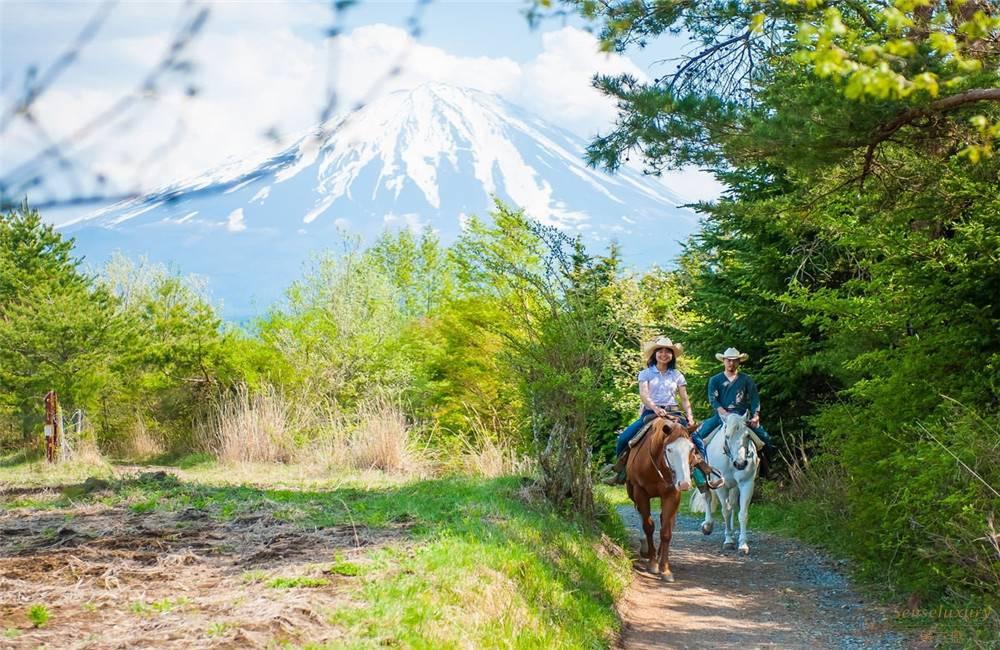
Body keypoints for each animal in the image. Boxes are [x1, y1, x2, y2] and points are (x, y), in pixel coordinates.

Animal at [624, 418, 696, 580]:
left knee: (667, 521)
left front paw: (665, 569)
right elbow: (648, 526)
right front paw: (652, 564)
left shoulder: (672, 494)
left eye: (691, 449)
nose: (684, 483)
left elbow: (666, 532)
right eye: (669, 449)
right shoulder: (640, 492)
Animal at [696, 410, 756, 552]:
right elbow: (726, 512)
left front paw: (742, 544)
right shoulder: (721, 486)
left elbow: (742, 513)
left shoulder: (746, 483)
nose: (740, 464)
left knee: (733, 504)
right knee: (707, 497)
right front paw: (728, 541)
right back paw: (707, 526)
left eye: (747, 435)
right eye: (727, 436)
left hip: (734, 486)